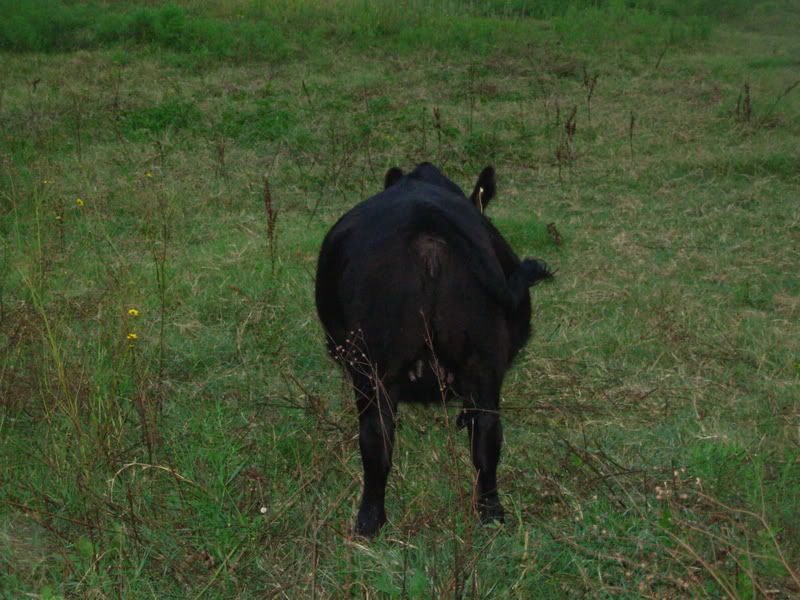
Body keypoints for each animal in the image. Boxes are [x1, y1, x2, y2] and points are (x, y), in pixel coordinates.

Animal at [315, 162, 552, 536]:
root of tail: (428, 227)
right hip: (482, 358)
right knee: (486, 435)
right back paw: (490, 512)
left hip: (374, 365)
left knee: (375, 437)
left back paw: (368, 522)